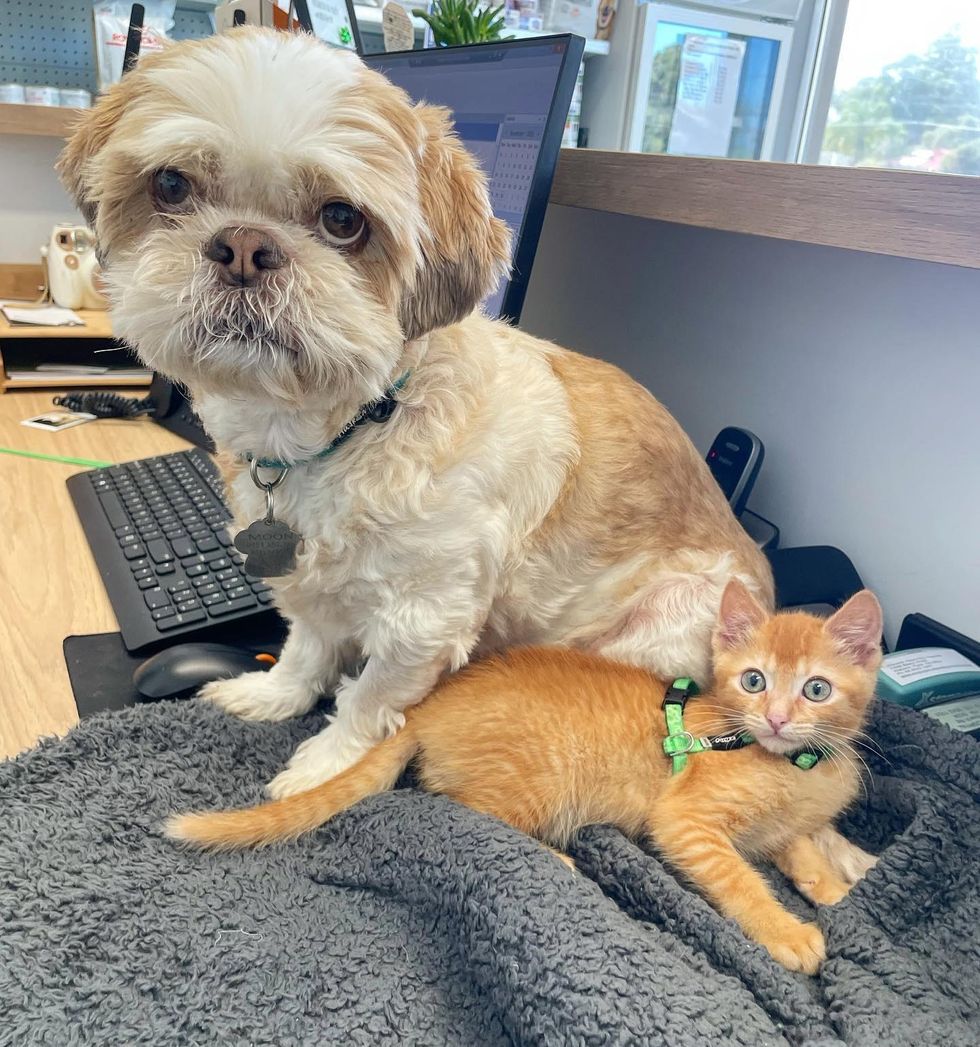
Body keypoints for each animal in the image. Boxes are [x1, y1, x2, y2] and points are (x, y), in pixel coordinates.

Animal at [61, 28, 774, 795]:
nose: (245, 245)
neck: (353, 423)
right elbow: (306, 646)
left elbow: (371, 697)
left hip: (663, 621)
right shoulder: (310, 578)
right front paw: (277, 693)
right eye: (171, 185)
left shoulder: (424, 619)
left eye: (342, 219)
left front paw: (329, 764)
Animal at [166, 582, 879, 971]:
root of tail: (427, 709)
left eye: (816, 689)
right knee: (457, 806)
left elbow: (795, 841)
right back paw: (556, 861)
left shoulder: (786, 816)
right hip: (535, 782)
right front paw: (787, 933)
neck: (789, 765)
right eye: (753, 680)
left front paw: (825, 882)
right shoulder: (686, 821)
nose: (779, 717)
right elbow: (739, 879)